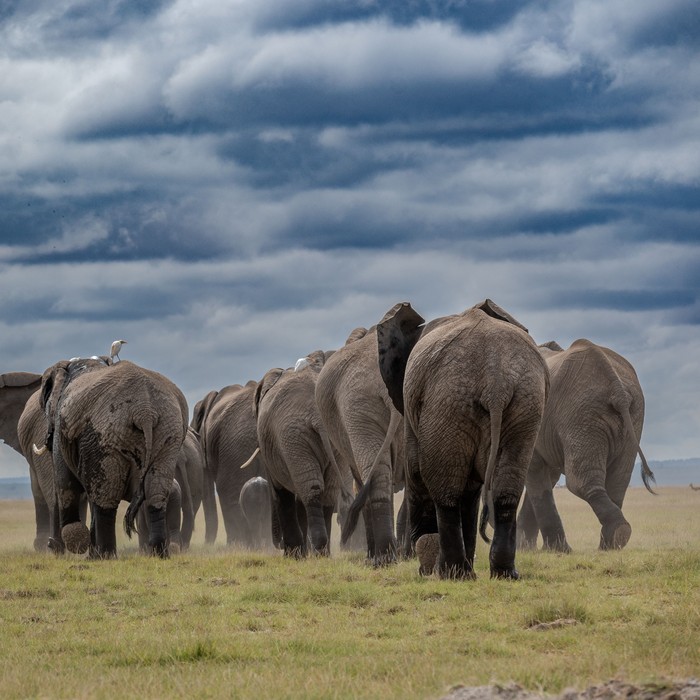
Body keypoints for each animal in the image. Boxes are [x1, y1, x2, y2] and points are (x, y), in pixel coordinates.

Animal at [36, 357, 189, 558]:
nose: (50, 543)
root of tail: (145, 410)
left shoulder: (63, 427)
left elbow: (65, 482)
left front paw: (79, 545)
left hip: (106, 433)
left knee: (105, 498)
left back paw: (106, 556)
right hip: (168, 432)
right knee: (155, 492)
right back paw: (158, 554)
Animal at [254, 350, 350, 557]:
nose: (279, 544)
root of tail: (317, 415)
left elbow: (281, 493)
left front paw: (294, 556)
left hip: (293, 438)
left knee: (310, 490)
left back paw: (315, 549)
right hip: (326, 440)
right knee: (327, 493)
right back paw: (323, 553)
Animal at [376, 299, 549, 580]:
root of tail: (496, 383)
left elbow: (416, 472)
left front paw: (426, 569)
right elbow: (471, 490)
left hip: (448, 401)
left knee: (445, 491)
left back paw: (451, 573)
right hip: (524, 404)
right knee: (506, 489)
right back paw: (503, 574)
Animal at [517, 339, 655, 552]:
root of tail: (617, 389)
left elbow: (537, 472)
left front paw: (551, 551)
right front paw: (529, 549)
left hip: (581, 415)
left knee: (579, 481)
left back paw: (615, 537)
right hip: (631, 417)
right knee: (617, 483)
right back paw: (612, 543)